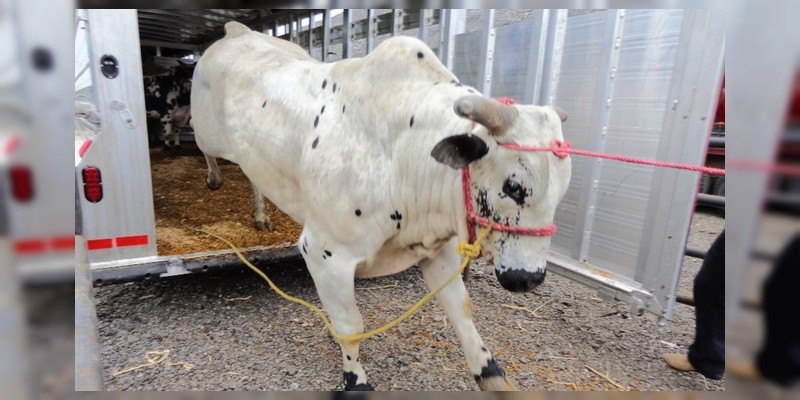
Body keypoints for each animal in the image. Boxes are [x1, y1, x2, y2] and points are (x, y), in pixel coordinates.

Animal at [191, 21, 572, 390]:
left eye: (562, 192)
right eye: (513, 186)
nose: (528, 279)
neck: (401, 153)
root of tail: (237, 30)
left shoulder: (438, 249)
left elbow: (461, 308)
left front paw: (489, 371)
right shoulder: (325, 253)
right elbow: (349, 326)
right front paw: (355, 379)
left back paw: (260, 215)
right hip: (205, 131)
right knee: (205, 149)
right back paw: (214, 179)